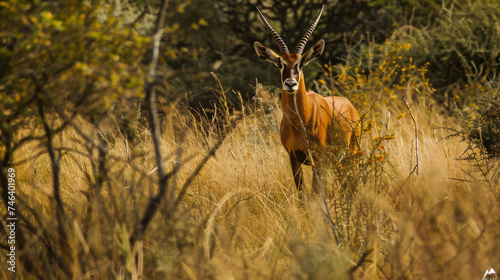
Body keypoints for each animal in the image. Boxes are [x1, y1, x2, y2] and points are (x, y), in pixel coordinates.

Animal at [254, 6, 360, 192]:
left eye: (300, 63)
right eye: (280, 63)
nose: (290, 84)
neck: (300, 121)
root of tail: (349, 104)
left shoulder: (318, 159)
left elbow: (316, 192)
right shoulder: (294, 158)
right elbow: (302, 193)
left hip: (351, 153)